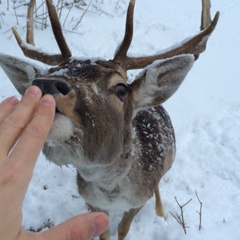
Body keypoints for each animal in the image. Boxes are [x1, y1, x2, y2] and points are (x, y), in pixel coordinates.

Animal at [0, 0, 218, 239]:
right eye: (50, 73)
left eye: (121, 89)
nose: (45, 84)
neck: (111, 192)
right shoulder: (91, 200)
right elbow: (104, 231)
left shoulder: (139, 200)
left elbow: (123, 229)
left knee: (159, 185)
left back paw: (161, 211)